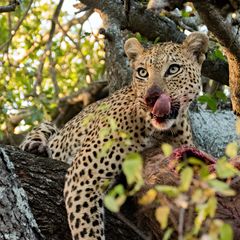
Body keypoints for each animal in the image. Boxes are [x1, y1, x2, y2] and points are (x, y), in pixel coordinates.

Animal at [20, 32, 208, 240]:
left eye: (173, 69)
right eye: (142, 72)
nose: (151, 97)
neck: (161, 131)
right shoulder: (84, 176)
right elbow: (88, 229)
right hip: (50, 127)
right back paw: (35, 147)